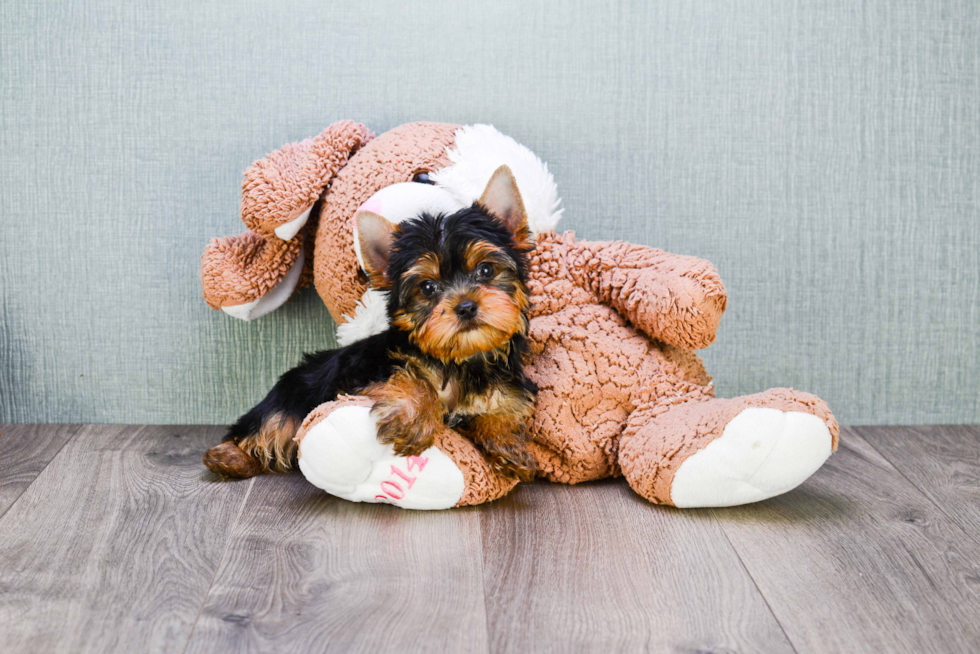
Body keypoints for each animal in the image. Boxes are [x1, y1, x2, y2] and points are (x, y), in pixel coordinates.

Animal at [201, 167, 536, 484]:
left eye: (486, 269)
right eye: (427, 288)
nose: (466, 307)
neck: (461, 360)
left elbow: (502, 409)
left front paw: (508, 444)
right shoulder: (363, 378)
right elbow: (412, 378)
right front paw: (413, 421)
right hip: (292, 397)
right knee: (268, 426)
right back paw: (228, 457)